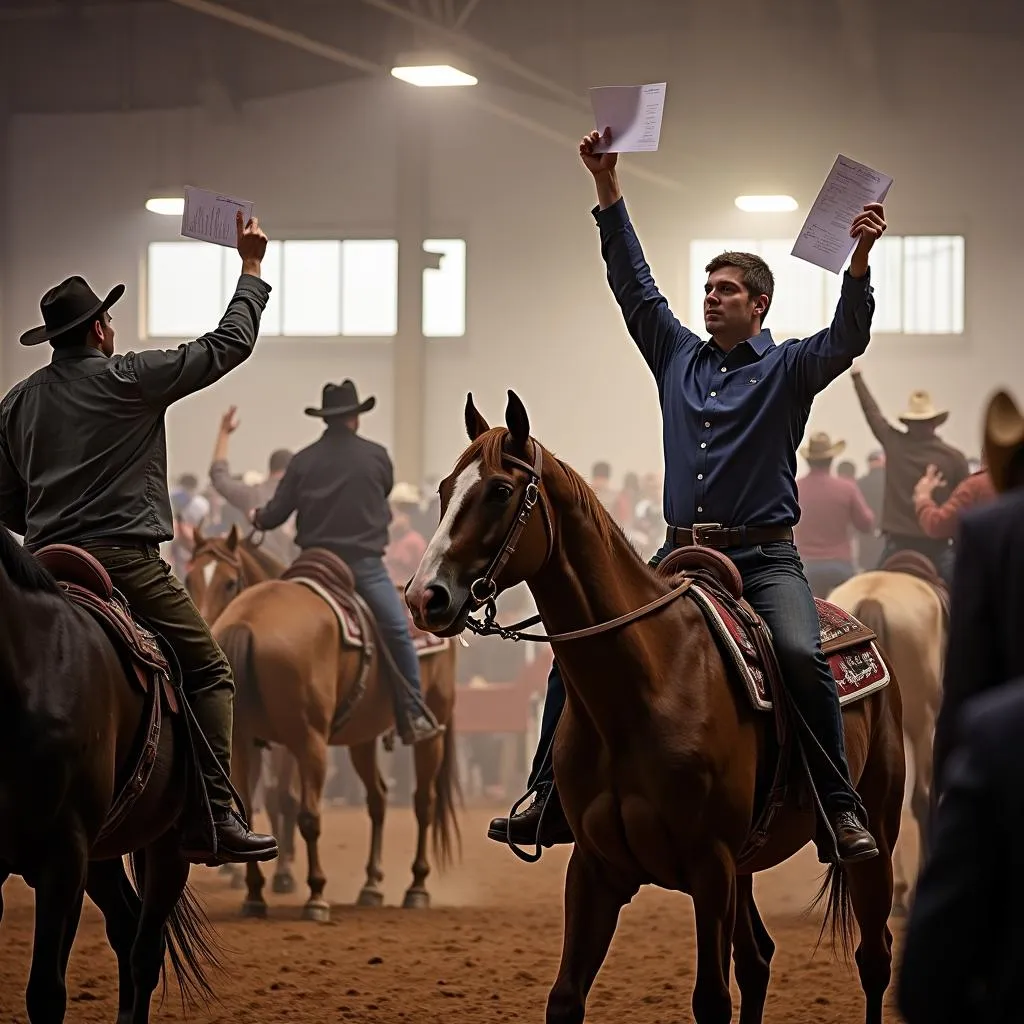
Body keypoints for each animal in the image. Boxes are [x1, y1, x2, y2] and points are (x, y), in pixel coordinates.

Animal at [0, 524, 218, 1019]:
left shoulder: (63, 860)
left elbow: (46, 993)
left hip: (166, 845)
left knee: (145, 949)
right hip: (103, 852)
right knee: (127, 927)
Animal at [211, 565, 460, 917]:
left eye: (229, 581)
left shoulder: (305, 743)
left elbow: (304, 814)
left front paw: (314, 893)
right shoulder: (253, 746)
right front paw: (256, 895)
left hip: (429, 728)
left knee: (423, 803)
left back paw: (417, 887)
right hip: (359, 739)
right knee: (379, 799)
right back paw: (372, 885)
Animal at [403, 391, 901, 1024]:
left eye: (498, 490)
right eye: (444, 489)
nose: (424, 596)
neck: (645, 688)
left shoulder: (711, 868)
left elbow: (711, 999)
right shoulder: (595, 870)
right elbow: (565, 997)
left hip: (876, 835)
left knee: (873, 956)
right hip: (747, 866)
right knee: (758, 960)